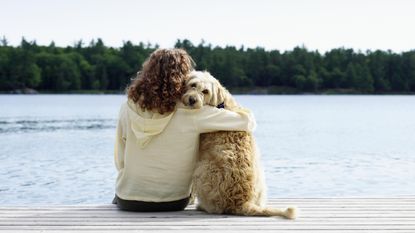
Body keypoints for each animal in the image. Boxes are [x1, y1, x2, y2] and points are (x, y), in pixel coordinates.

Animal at [182, 70, 296, 218]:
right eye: (193, 85)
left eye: (205, 91)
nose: (192, 100)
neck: (220, 103)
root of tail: (242, 202)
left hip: (202, 168)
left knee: (215, 207)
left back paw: (202, 206)